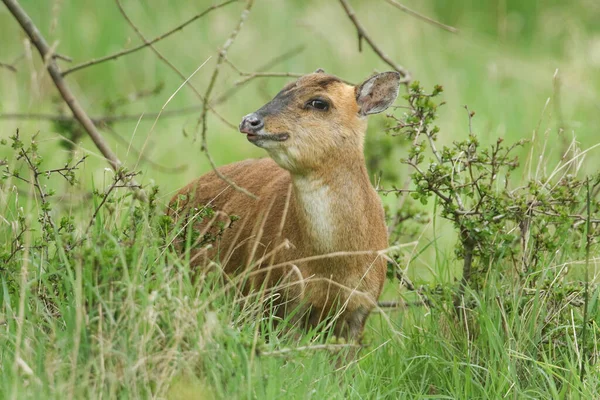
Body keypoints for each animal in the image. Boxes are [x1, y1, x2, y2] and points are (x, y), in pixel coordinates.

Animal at [169, 69, 400, 340]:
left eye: (319, 102)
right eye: (284, 88)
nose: (249, 121)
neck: (333, 267)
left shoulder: (361, 308)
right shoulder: (275, 297)